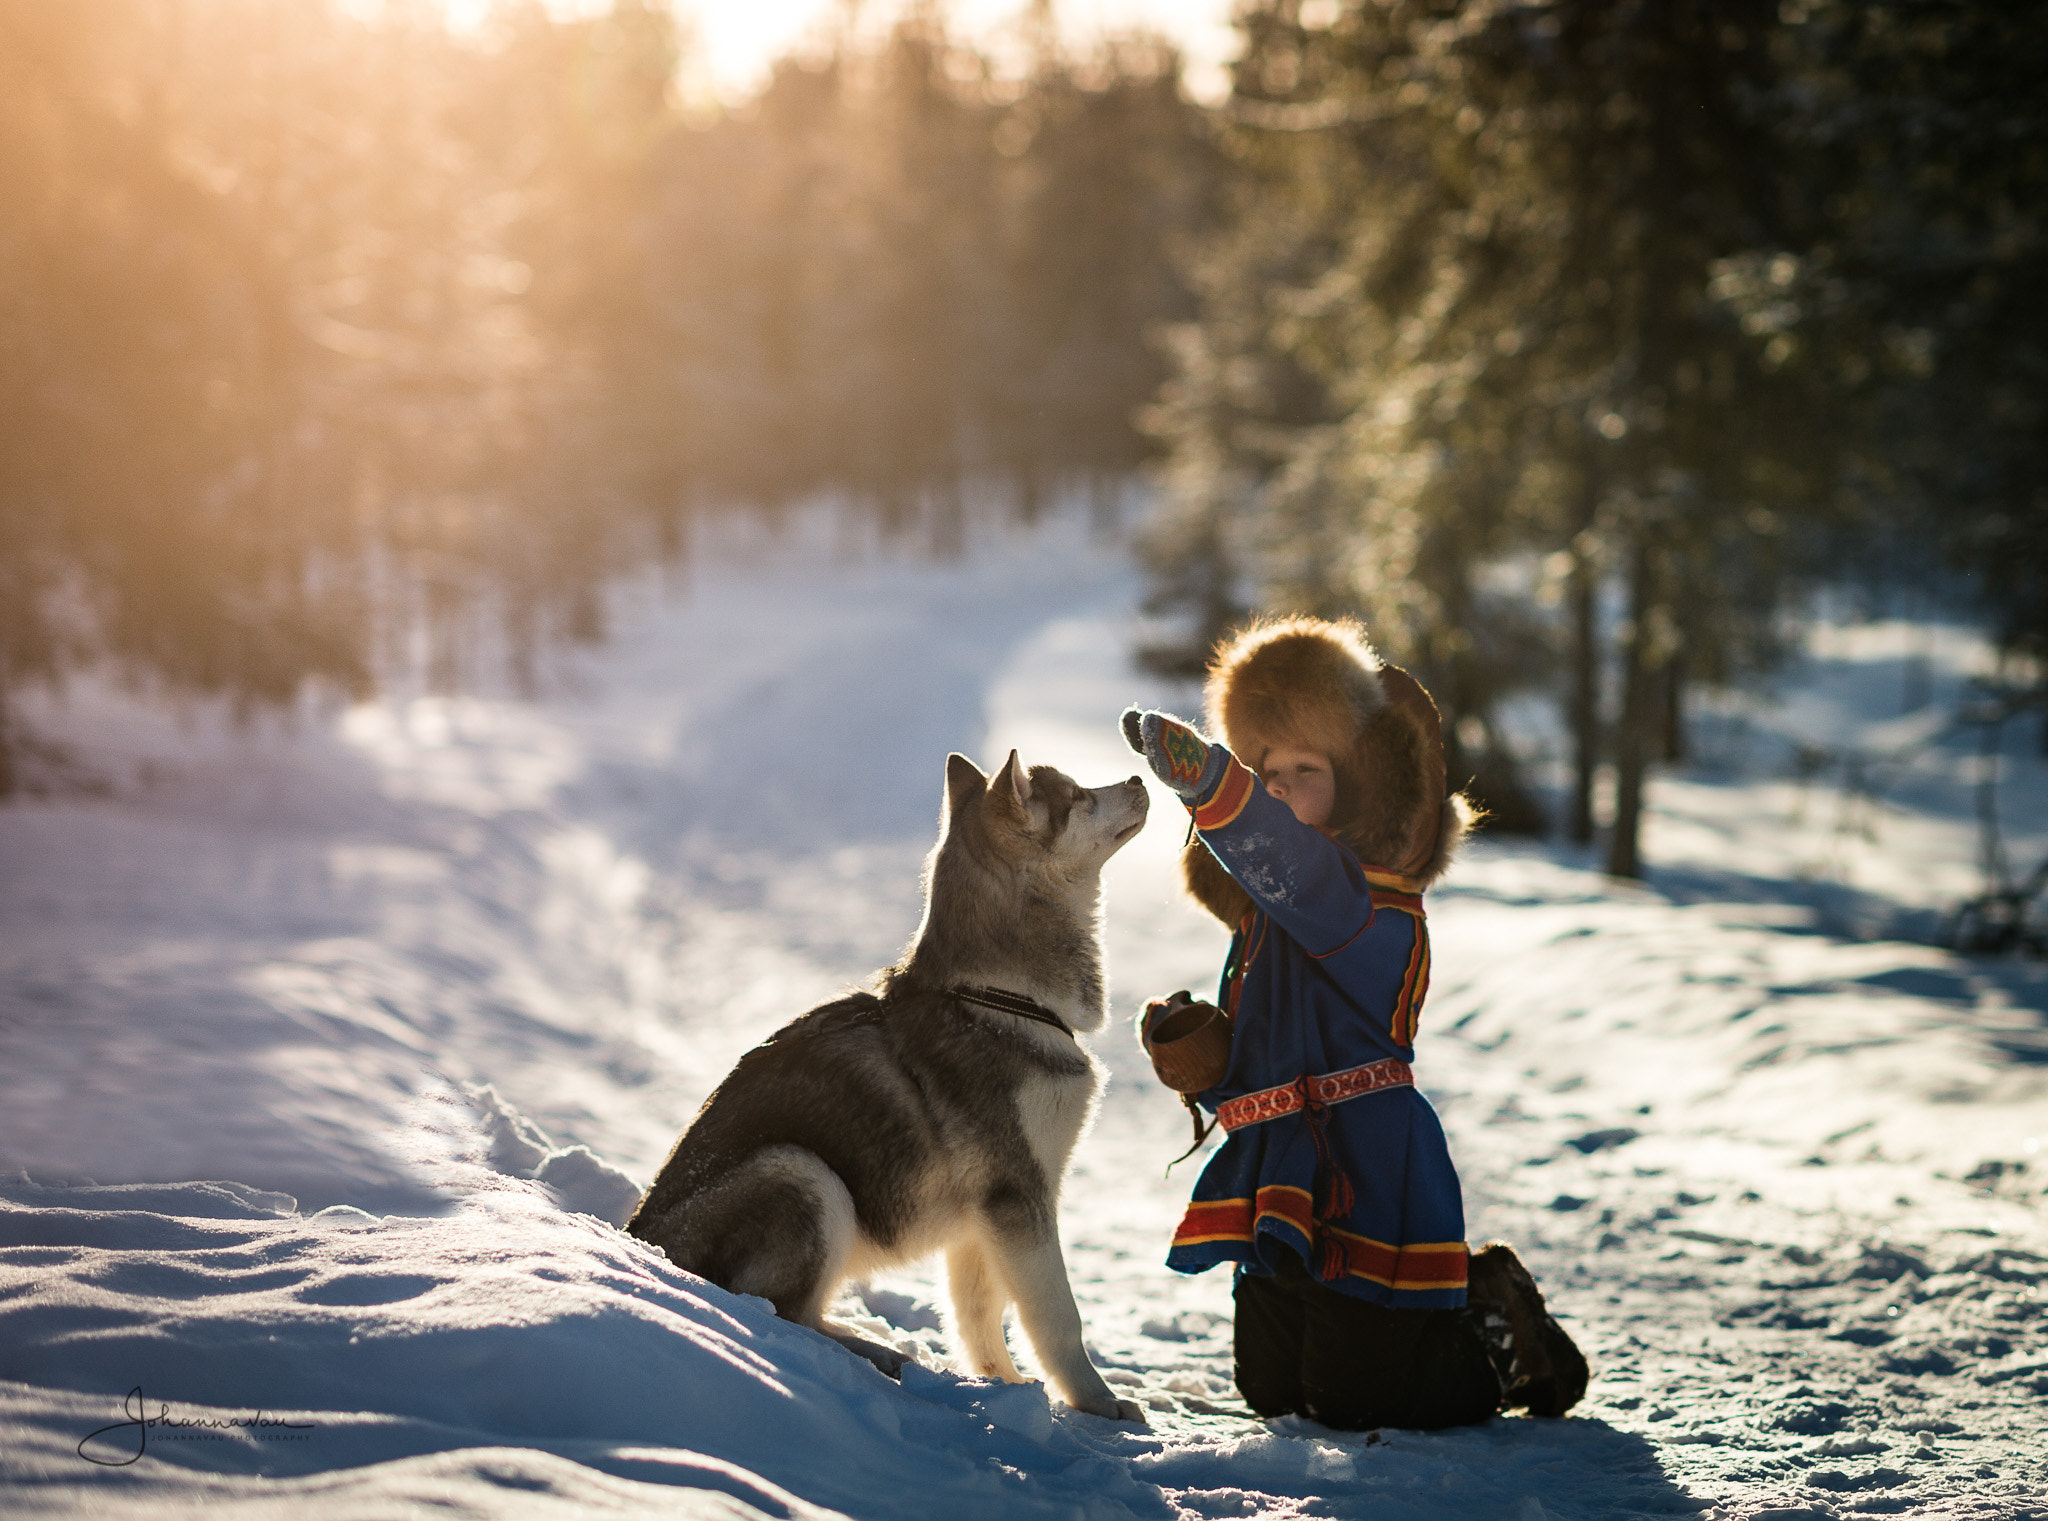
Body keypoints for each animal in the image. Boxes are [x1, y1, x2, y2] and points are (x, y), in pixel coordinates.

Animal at [622, 749, 1155, 1424]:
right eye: (1080, 795)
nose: (1138, 776)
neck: (1003, 1001)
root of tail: (638, 1238)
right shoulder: (1019, 1195)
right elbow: (1059, 1316)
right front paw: (1099, 1406)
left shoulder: (985, 1217)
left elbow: (980, 1318)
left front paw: (1006, 1392)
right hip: (805, 1173)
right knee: (784, 1314)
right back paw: (876, 1354)